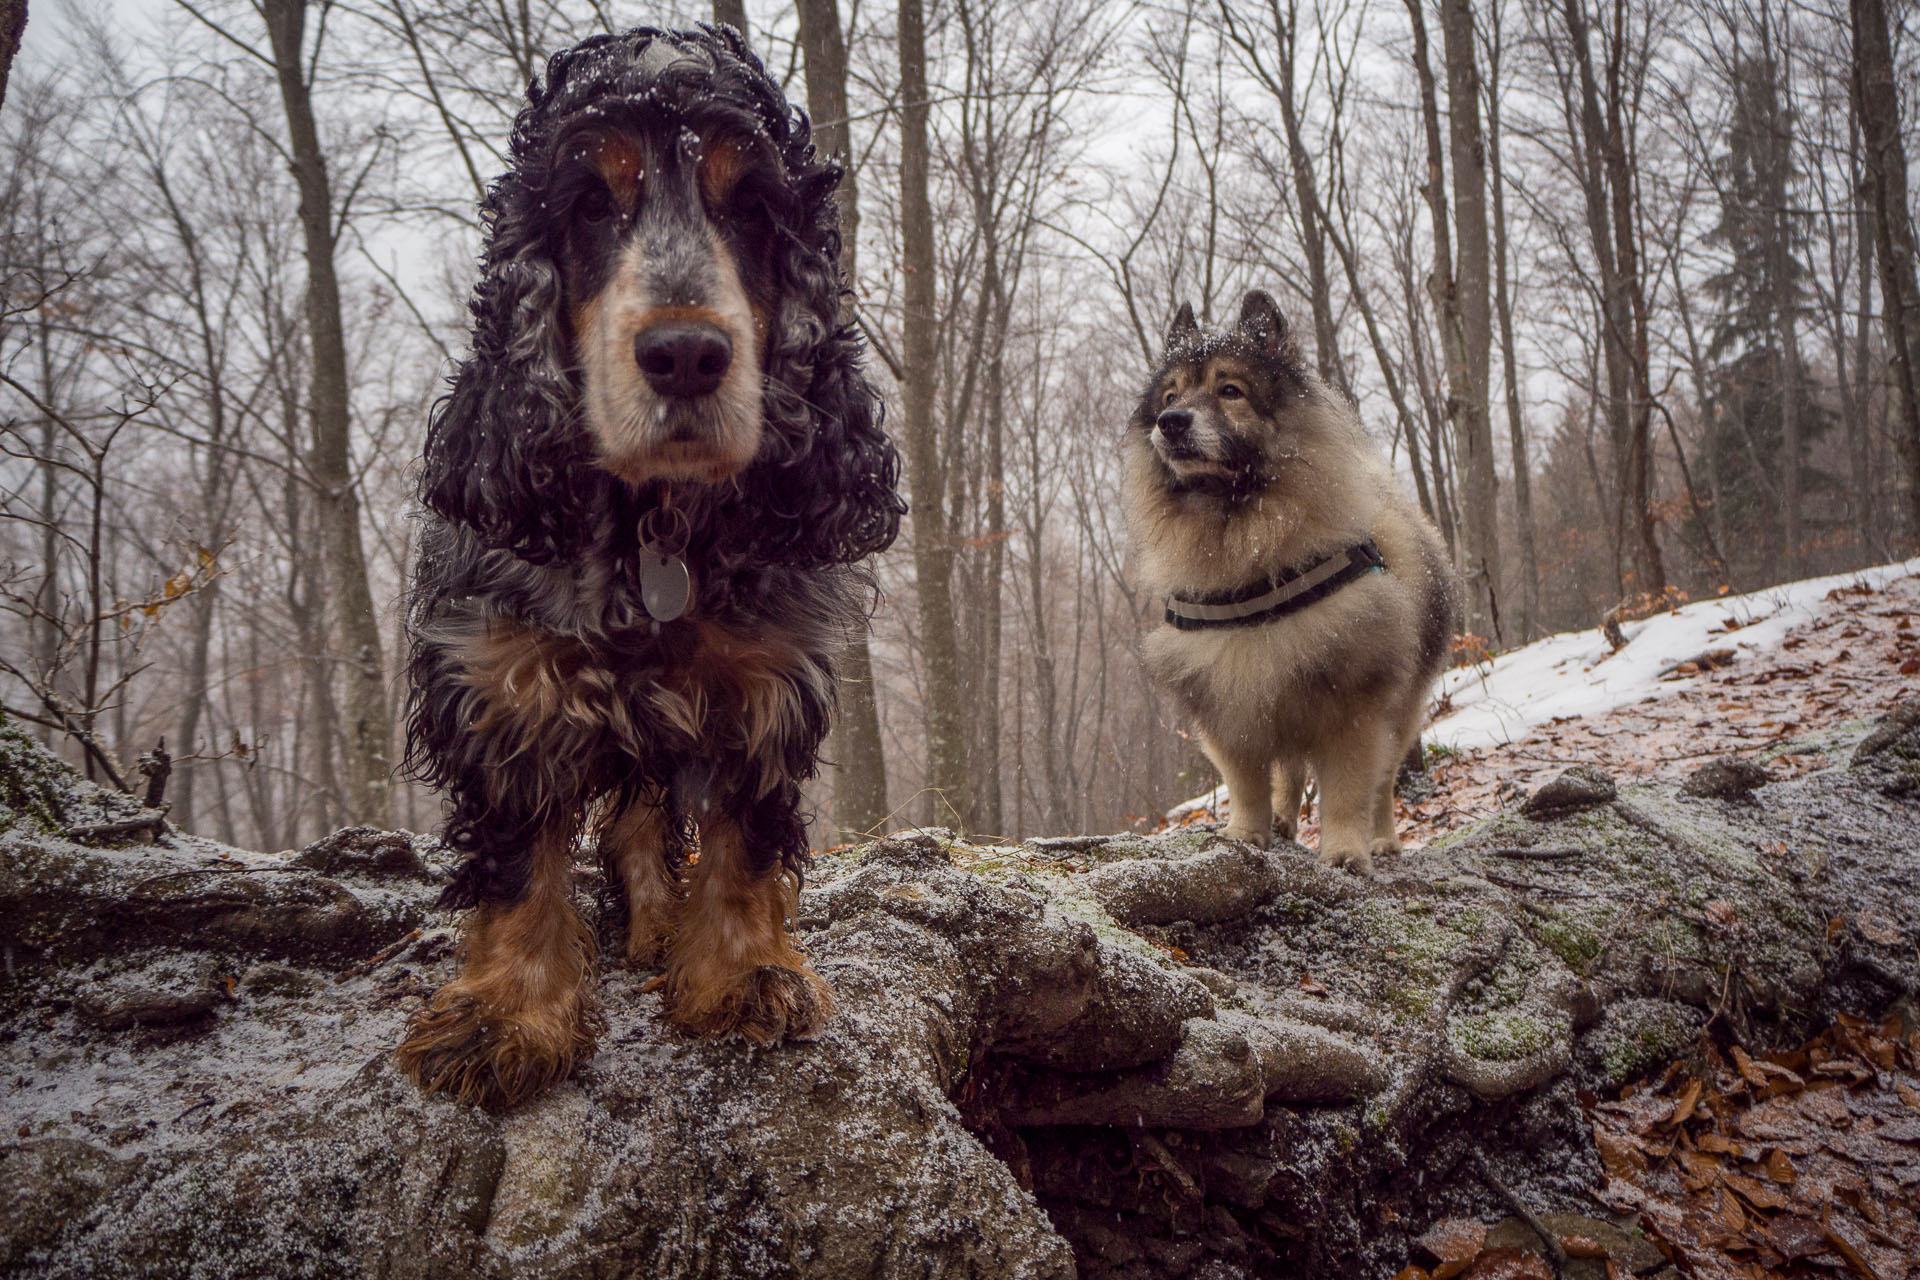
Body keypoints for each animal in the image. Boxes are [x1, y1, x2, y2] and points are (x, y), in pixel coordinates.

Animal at [395, 27, 898, 1113]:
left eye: (750, 207)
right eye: (590, 204)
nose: (686, 355)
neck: (652, 529)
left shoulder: (767, 680)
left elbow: (745, 835)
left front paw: (744, 972)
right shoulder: (498, 682)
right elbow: (517, 860)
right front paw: (507, 1014)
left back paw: (662, 922)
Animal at [1121, 289, 1451, 871]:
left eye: (1230, 391)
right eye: (1171, 395)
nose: (1170, 421)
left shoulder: (1354, 704)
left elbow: (1348, 790)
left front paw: (1345, 851)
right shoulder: (1231, 706)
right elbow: (1249, 782)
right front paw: (1246, 833)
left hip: (1401, 711)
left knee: (1384, 782)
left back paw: (1383, 840)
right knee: (1290, 770)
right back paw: (1281, 820)